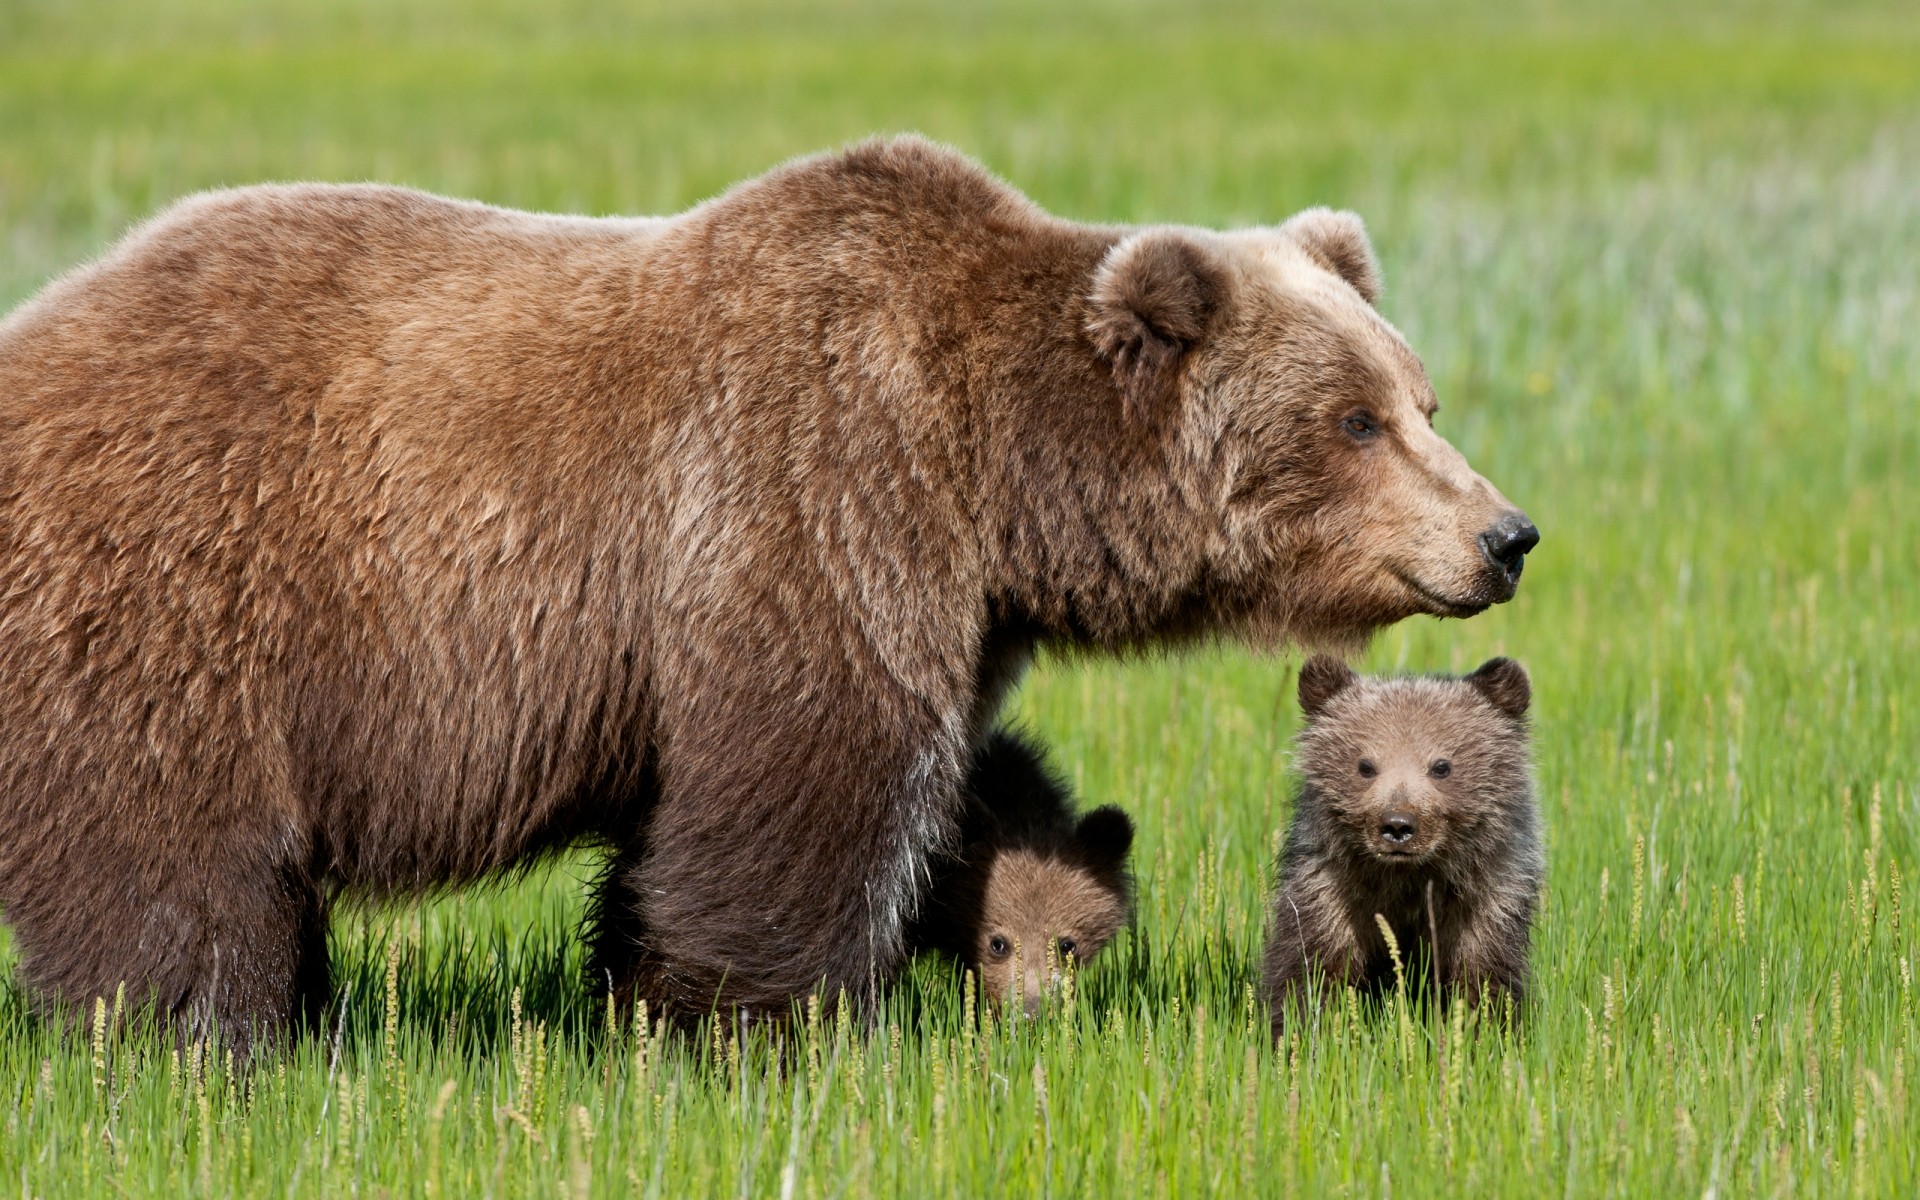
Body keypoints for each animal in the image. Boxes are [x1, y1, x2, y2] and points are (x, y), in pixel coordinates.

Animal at [1259, 656, 1543, 1029]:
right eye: (1365, 765)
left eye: (1442, 766)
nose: (1397, 825)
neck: (1407, 879)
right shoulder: (1330, 891)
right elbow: (1311, 969)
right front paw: (1299, 1028)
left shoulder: (1487, 897)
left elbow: (1483, 977)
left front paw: (1482, 1028)